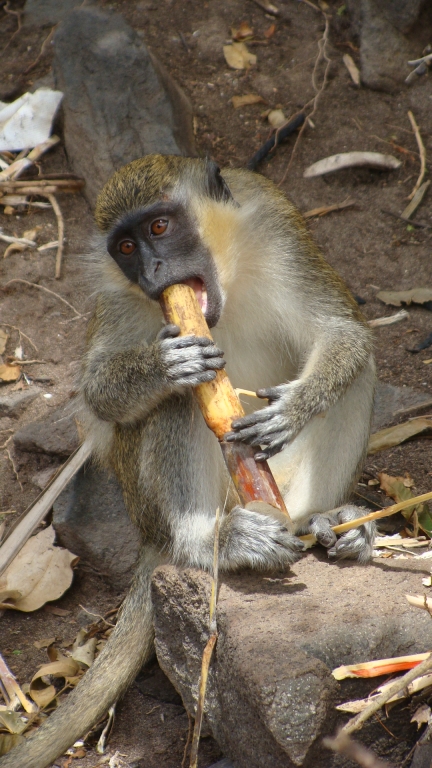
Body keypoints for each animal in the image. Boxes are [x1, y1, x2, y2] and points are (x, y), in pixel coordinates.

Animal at [0, 156, 374, 768]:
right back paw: (209, 539)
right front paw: (162, 365)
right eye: (125, 247)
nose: (153, 268)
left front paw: (295, 406)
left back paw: (325, 520)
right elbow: (100, 391)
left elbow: (346, 333)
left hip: (282, 484)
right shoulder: (119, 297)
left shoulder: (278, 230)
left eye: (159, 227)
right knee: (177, 405)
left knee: (359, 374)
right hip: (161, 505)